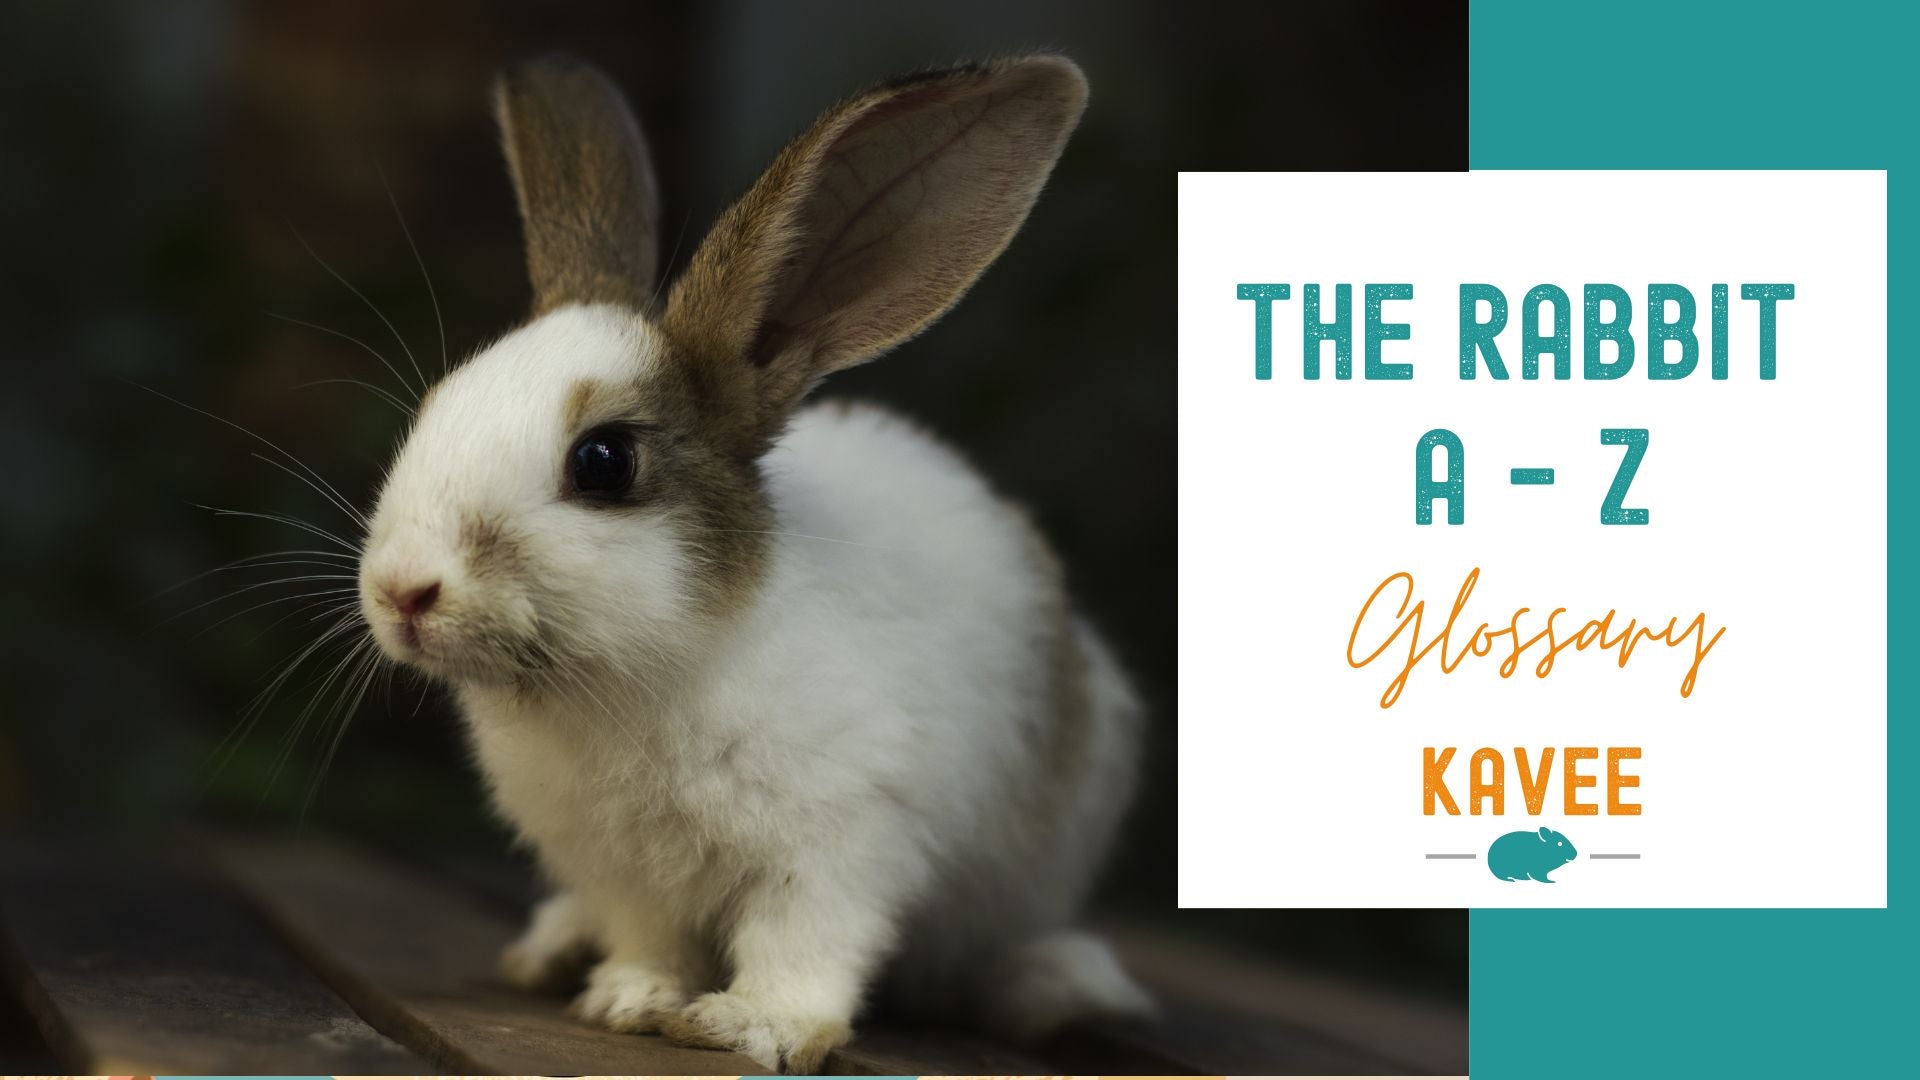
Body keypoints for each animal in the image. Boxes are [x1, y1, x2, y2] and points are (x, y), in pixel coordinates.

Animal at [354, 52, 1149, 1072]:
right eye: (436, 407)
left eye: (604, 462)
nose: (401, 591)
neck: (640, 674)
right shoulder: (628, 874)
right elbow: (649, 937)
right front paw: (628, 999)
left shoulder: (840, 844)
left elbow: (804, 942)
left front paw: (753, 1025)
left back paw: (1063, 988)